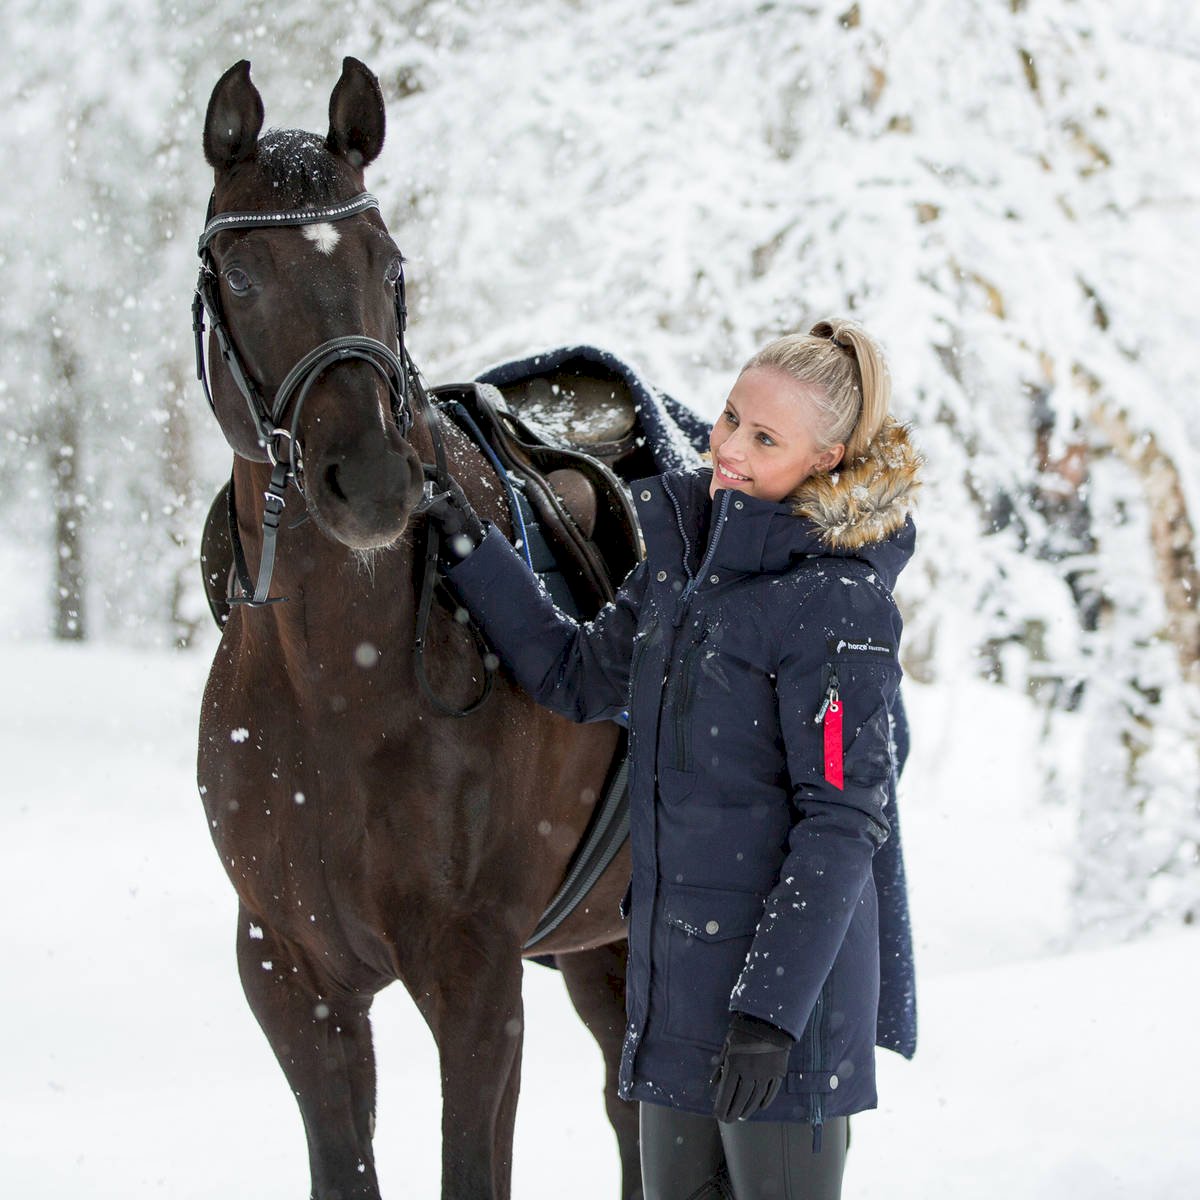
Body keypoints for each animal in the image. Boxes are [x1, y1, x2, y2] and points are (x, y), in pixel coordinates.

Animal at [196, 58, 643, 1200]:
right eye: (243, 278)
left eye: (388, 263)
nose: (371, 481)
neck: (336, 687)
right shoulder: (290, 973)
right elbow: (343, 1163)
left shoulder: (474, 976)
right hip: (605, 943)